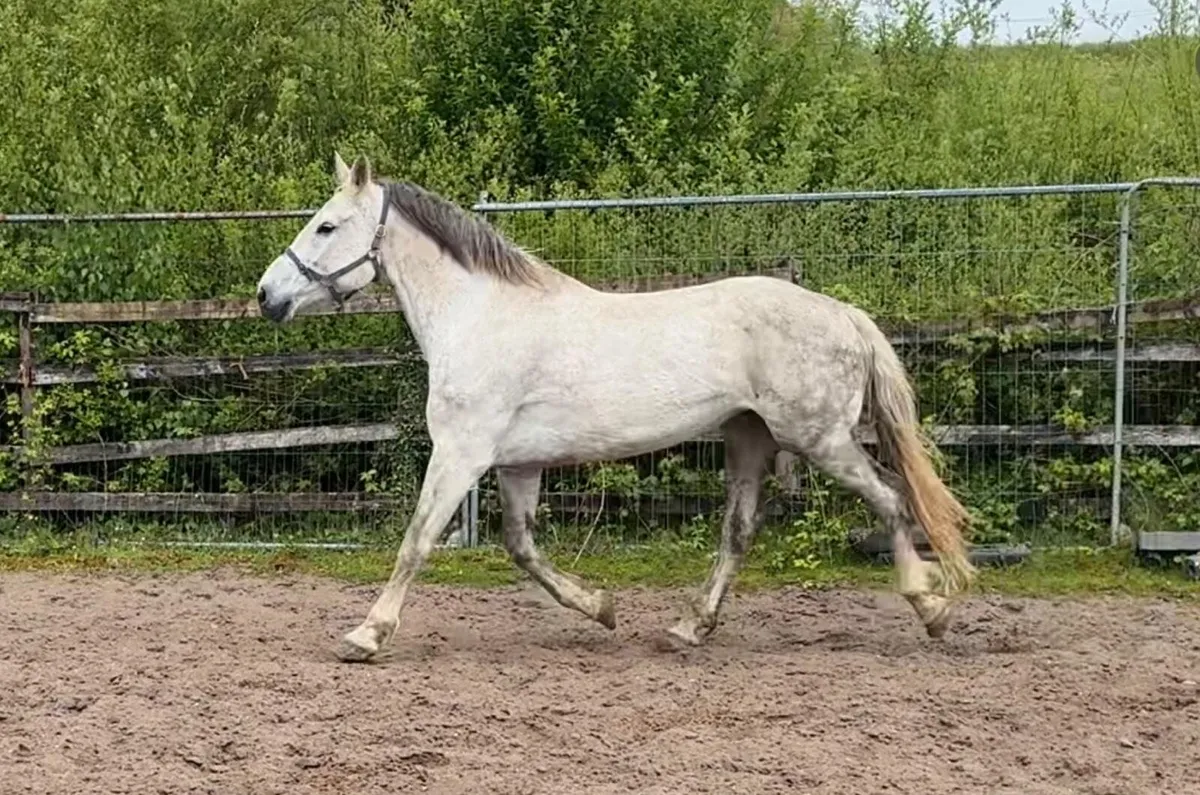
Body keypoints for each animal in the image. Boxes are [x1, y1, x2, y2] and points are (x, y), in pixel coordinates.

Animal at [255, 152, 976, 662]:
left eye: (325, 225)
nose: (266, 296)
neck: (480, 316)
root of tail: (844, 314)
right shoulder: (517, 465)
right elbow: (523, 549)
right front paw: (601, 606)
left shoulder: (462, 453)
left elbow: (417, 539)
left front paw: (366, 634)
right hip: (750, 438)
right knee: (739, 531)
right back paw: (688, 627)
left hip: (819, 438)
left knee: (891, 499)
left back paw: (932, 608)